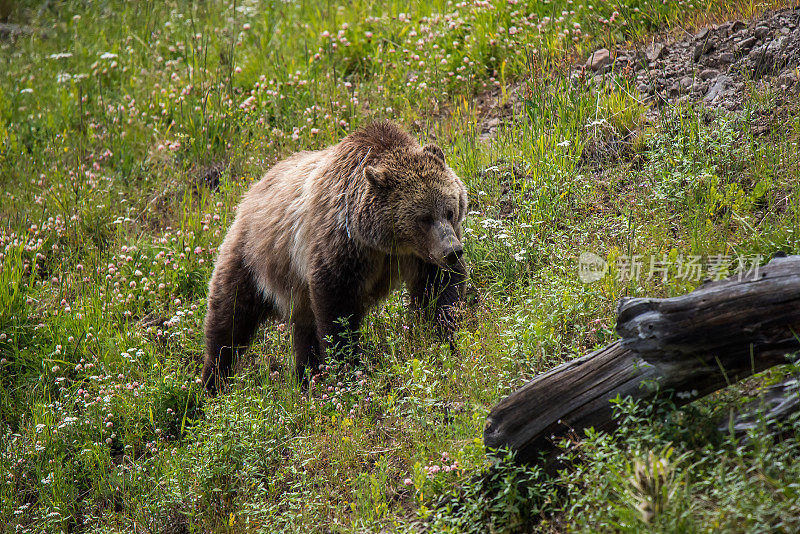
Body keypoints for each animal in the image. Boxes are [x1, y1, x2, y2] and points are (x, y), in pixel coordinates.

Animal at [202, 123, 468, 396]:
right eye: (424, 218)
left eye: (450, 210)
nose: (452, 251)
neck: (382, 243)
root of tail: (250, 192)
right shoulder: (341, 244)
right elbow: (336, 308)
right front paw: (348, 366)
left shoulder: (419, 256)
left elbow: (438, 291)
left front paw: (446, 337)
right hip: (253, 259)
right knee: (229, 321)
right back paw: (211, 385)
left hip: (296, 291)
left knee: (303, 331)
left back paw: (306, 380)